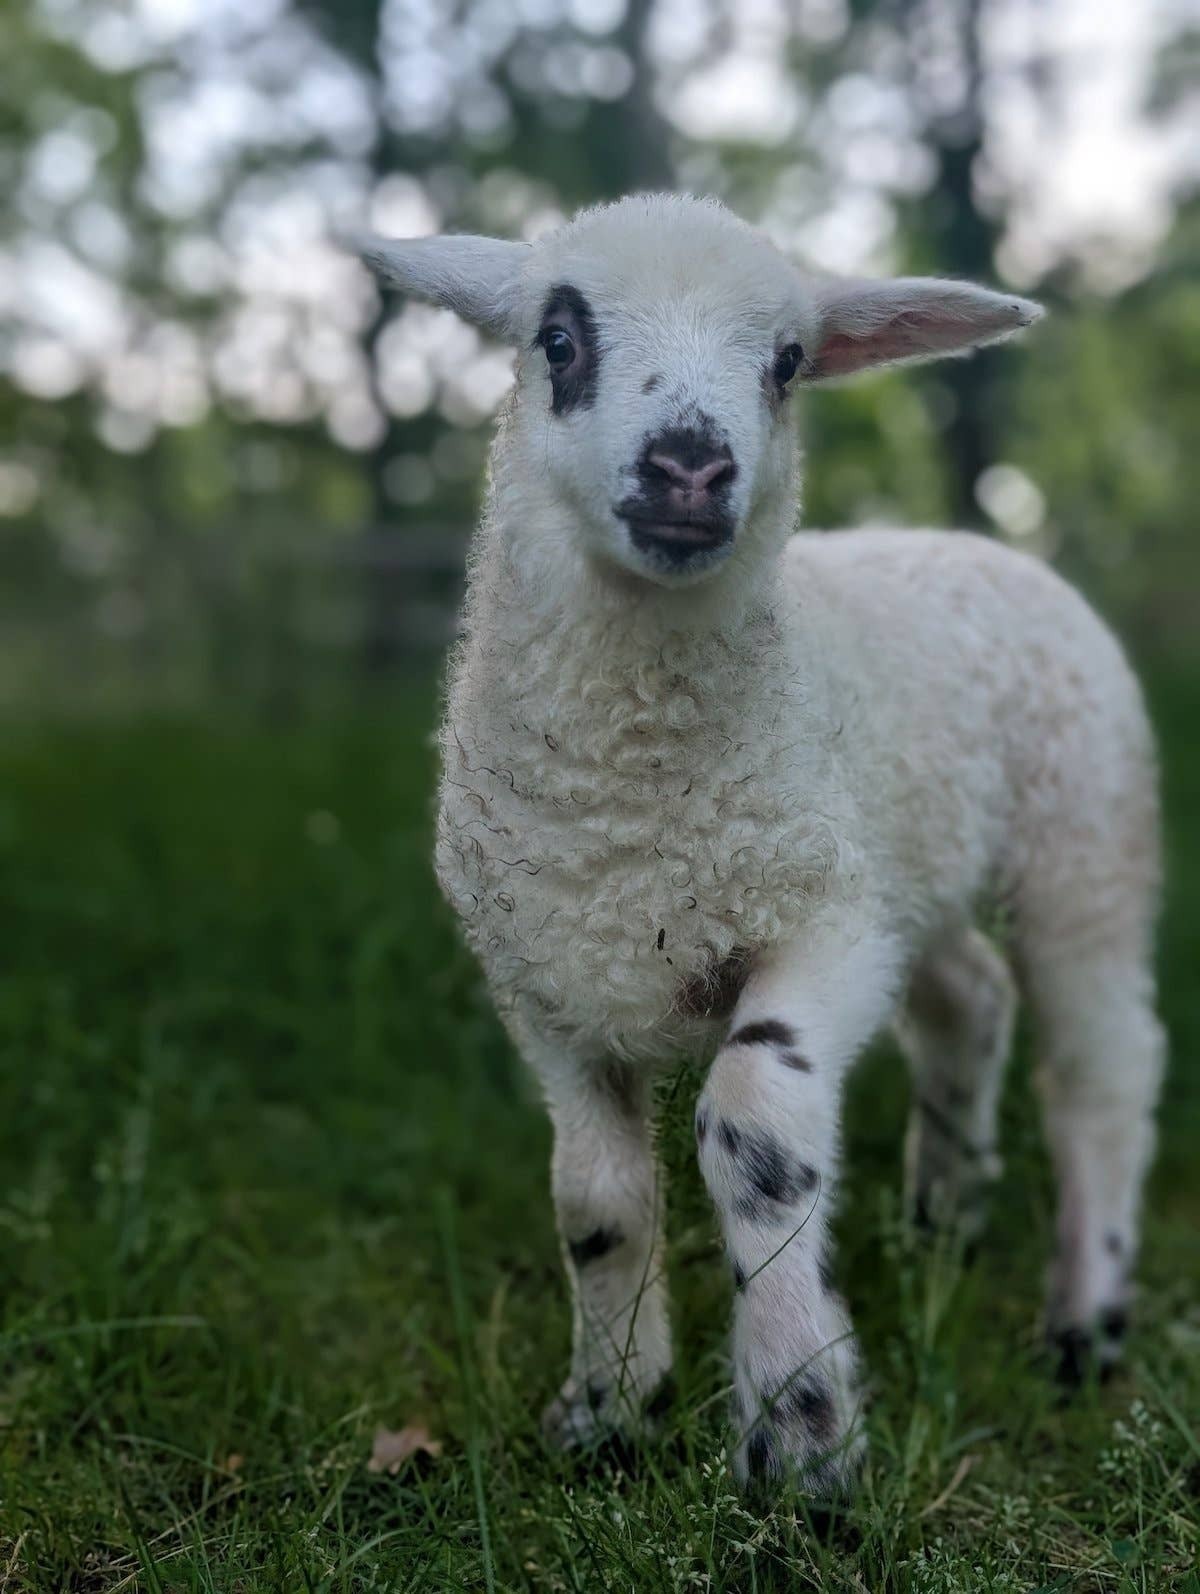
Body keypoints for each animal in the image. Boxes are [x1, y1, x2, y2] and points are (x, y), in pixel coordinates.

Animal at [355, 194, 1165, 1496]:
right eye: (558, 339)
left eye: (787, 362)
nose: (690, 462)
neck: (625, 805)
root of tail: (975, 540)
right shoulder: (546, 981)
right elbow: (595, 1197)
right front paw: (609, 1412)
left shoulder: (818, 926)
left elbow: (753, 1131)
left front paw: (801, 1432)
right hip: (904, 861)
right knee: (971, 998)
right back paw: (943, 1217)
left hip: (1086, 837)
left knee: (1103, 1068)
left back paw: (1083, 1323)